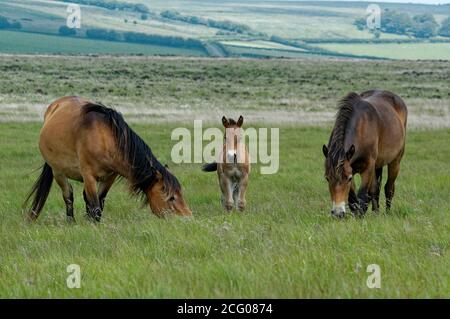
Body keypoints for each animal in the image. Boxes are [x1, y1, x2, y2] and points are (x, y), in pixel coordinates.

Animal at [24, 97, 192, 222]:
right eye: (171, 198)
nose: (187, 218)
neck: (104, 139)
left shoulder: (109, 177)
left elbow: (99, 203)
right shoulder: (89, 177)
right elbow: (95, 206)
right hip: (58, 171)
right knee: (68, 196)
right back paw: (70, 221)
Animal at [322, 90, 406, 219]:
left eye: (348, 178)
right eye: (327, 178)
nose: (337, 213)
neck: (361, 127)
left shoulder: (367, 168)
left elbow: (362, 195)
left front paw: (360, 217)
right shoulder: (351, 167)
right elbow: (353, 198)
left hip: (395, 162)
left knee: (389, 188)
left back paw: (387, 213)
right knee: (375, 189)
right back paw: (376, 213)